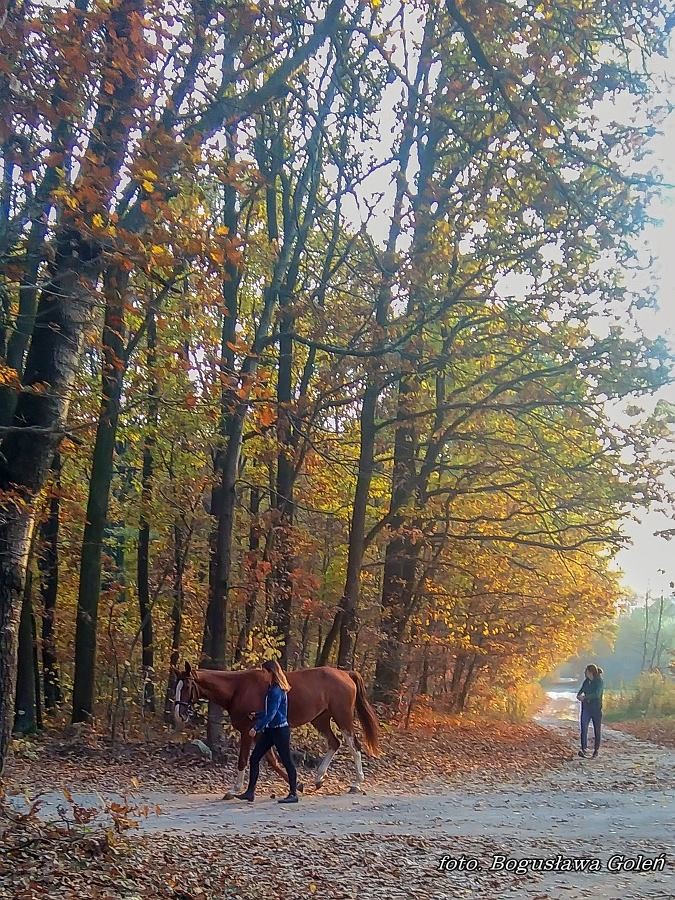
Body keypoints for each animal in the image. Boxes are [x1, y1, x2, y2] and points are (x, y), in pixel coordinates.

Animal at [174, 660, 380, 796]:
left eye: (187, 686)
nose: (179, 714)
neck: (238, 689)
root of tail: (346, 674)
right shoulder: (260, 733)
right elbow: (272, 761)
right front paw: (297, 784)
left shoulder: (248, 731)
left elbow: (243, 760)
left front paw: (234, 789)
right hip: (320, 719)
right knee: (334, 743)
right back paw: (319, 778)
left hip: (342, 718)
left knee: (354, 746)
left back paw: (356, 783)